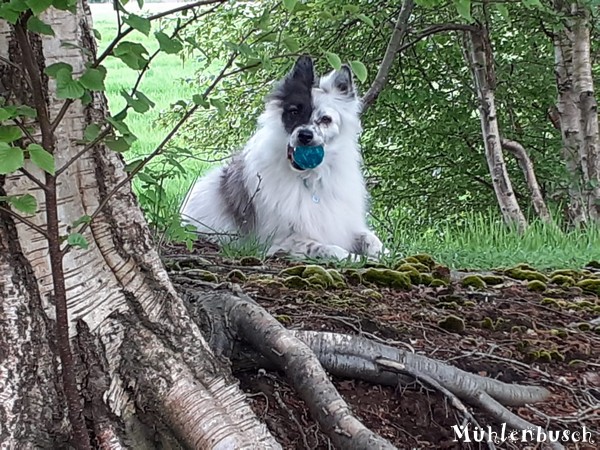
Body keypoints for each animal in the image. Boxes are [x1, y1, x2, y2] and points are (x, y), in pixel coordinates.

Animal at [179, 56, 384, 260]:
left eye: (326, 119)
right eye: (294, 112)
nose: (305, 135)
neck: (310, 178)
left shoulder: (349, 227)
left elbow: (372, 239)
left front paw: (382, 253)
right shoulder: (279, 242)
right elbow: (330, 249)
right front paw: (361, 258)